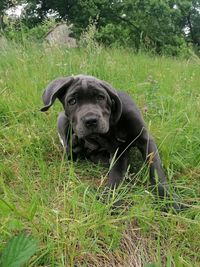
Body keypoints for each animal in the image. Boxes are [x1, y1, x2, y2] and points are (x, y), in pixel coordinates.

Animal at [40, 74, 183, 213]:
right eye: (72, 101)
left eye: (100, 97)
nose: (90, 120)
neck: (113, 124)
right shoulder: (118, 151)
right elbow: (116, 174)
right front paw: (110, 198)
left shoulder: (145, 140)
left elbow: (156, 170)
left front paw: (168, 200)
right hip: (62, 120)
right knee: (71, 151)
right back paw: (76, 145)